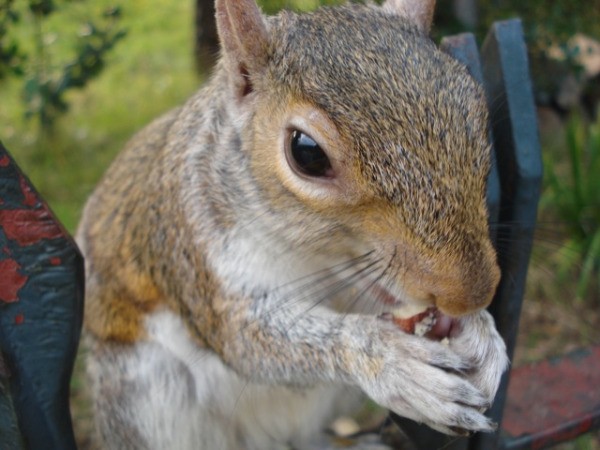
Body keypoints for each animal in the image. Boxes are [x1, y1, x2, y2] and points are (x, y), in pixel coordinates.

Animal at [77, 0, 510, 448]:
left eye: (475, 106)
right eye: (307, 153)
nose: (470, 294)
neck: (312, 256)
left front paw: (482, 336)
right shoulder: (195, 248)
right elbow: (245, 339)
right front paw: (388, 357)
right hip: (144, 389)